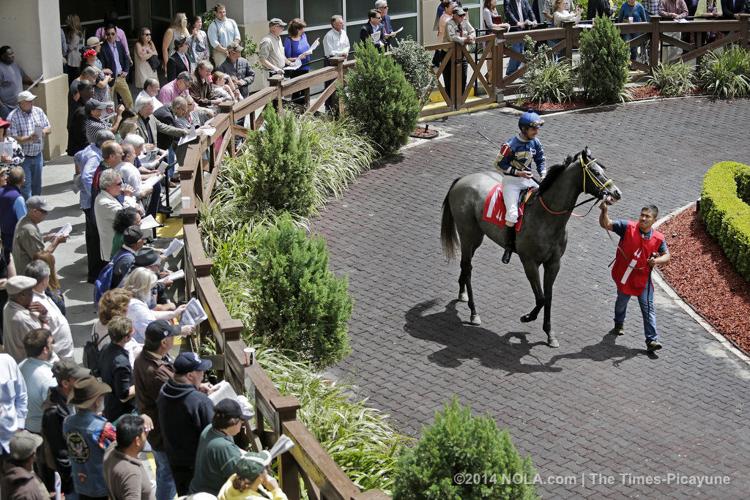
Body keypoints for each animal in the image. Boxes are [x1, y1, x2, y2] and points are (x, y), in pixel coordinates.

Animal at [440, 146, 624, 346]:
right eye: (596, 172)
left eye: (603, 169)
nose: (616, 193)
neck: (546, 217)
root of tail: (462, 180)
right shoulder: (529, 262)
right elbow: (541, 298)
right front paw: (527, 317)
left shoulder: (553, 263)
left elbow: (548, 297)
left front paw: (550, 334)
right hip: (468, 234)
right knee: (468, 267)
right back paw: (474, 313)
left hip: (476, 237)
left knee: (465, 266)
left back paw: (462, 294)